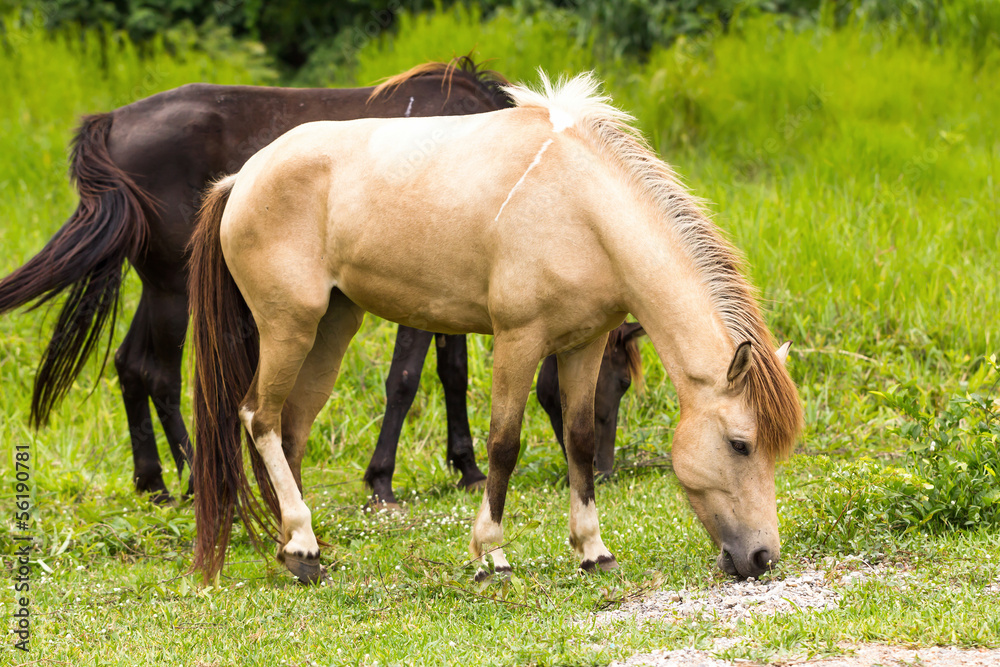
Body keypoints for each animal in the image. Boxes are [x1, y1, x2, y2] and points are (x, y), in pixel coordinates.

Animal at [188, 72, 803, 585]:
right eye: (741, 444)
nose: (761, 557)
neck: (581, 208)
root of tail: (242, 179)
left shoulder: (582, 346)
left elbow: (579, 441)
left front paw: (593, 551)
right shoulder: (518, 339)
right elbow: (504, 445)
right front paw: (492, 555)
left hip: (331, 329)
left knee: (291, 427)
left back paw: (300, 550)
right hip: (288, 328)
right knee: (259, 418)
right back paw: (302, 544)